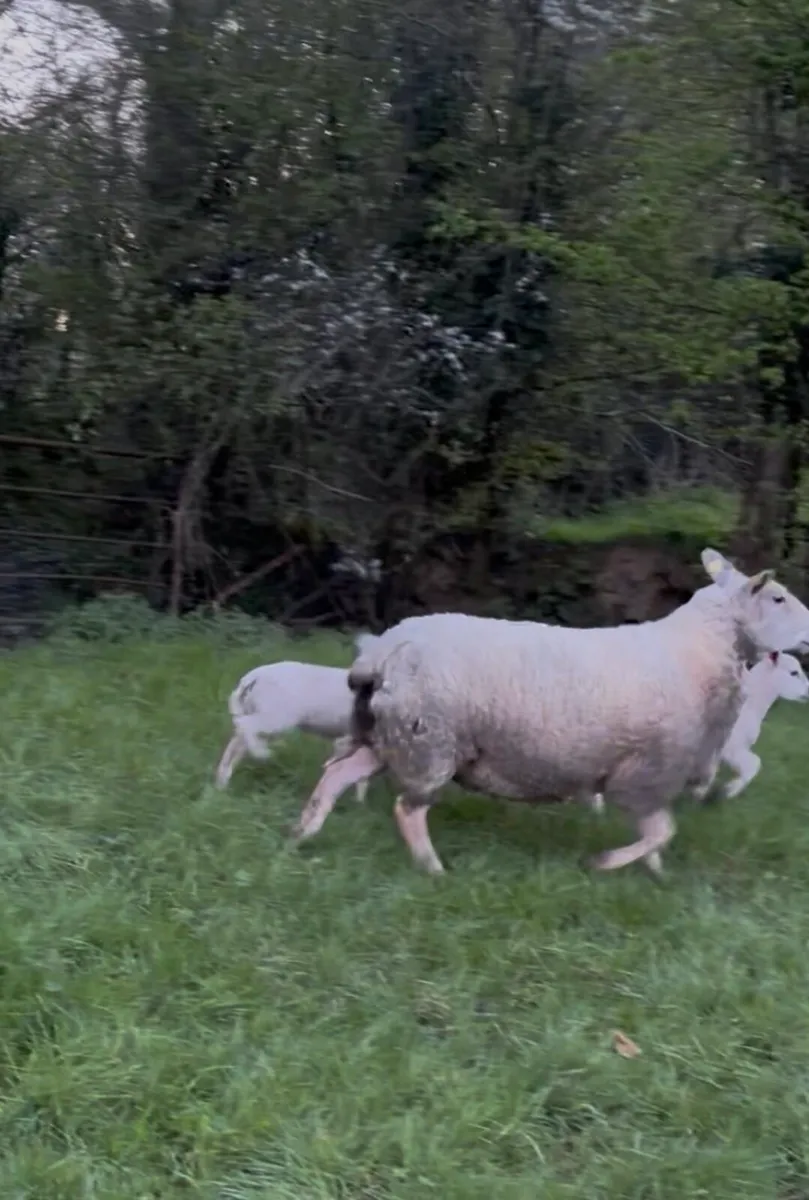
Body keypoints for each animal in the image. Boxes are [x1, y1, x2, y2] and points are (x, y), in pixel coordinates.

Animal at [215, 634, 377, 799]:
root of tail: (250, 678)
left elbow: (361, 776)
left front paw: (360, 803)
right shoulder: (347, 738)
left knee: (235, 745)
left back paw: (222, 787)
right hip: (277, 717)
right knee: (245, 725)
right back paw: (261, 752)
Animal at [290, 548, 809, 877]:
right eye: (778, 597)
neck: (696, 649)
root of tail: (382, 651)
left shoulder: (647, 775)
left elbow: (658, 834)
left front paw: (651, 871)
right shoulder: (646, 772)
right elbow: (662, 831)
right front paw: (607, 864)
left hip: (388, 734)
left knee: (336, 775)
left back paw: (303, 834)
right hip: (430, 740)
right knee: (407, 808)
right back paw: (431, 867)